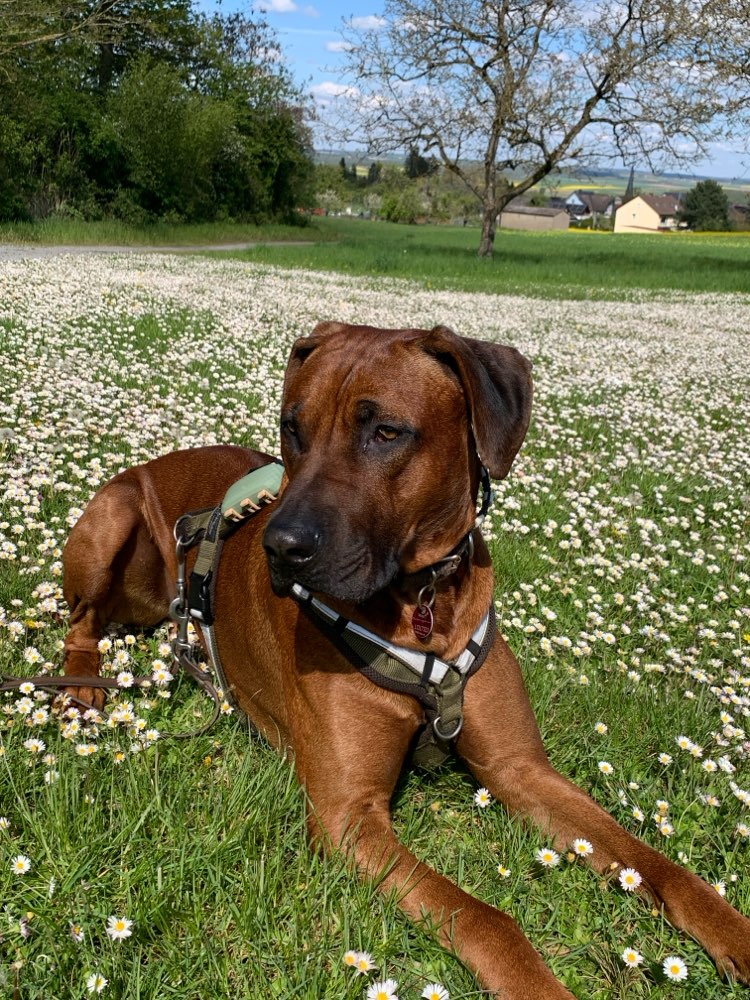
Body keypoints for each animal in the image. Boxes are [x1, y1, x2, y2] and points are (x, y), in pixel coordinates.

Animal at [63, 322, 750, 1000]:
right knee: (81, 621)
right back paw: (80, 689)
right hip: (111, 519)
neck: (423, 603)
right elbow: (486, 917)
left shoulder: (520, 769)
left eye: (386, 432)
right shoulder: (348, 818)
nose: (279, 547)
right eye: (293, 428)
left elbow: (655, 859)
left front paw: (733, 932)